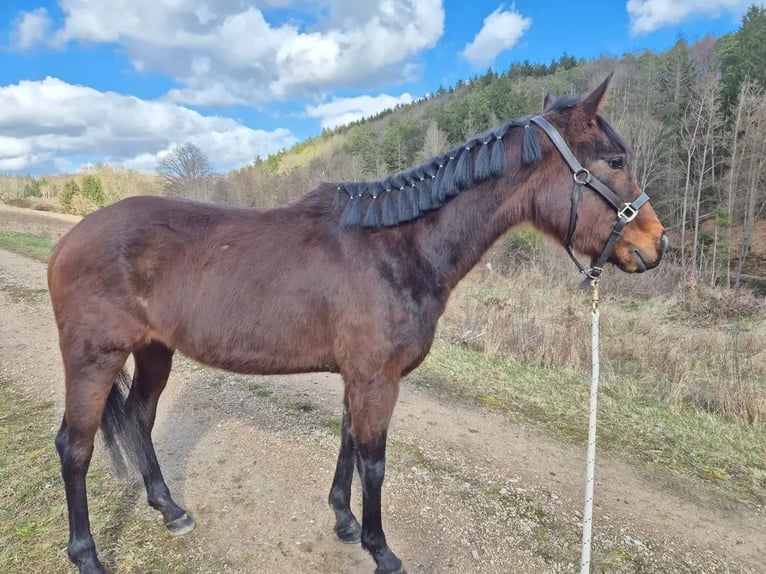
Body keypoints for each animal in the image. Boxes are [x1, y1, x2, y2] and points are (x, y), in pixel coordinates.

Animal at [48, 74, 666, 574]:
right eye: (613, 160)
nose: (655, 244)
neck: (398, 247)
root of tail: (68, 239)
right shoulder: (376, 379)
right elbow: (375, 461)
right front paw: (380, 548)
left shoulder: (359, 376)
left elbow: (348, 440)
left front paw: (345, 522)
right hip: (94, 359)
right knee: (74, 447)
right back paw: (88, 556)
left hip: (154, 351)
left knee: (139, 419)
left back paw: (170, 509)